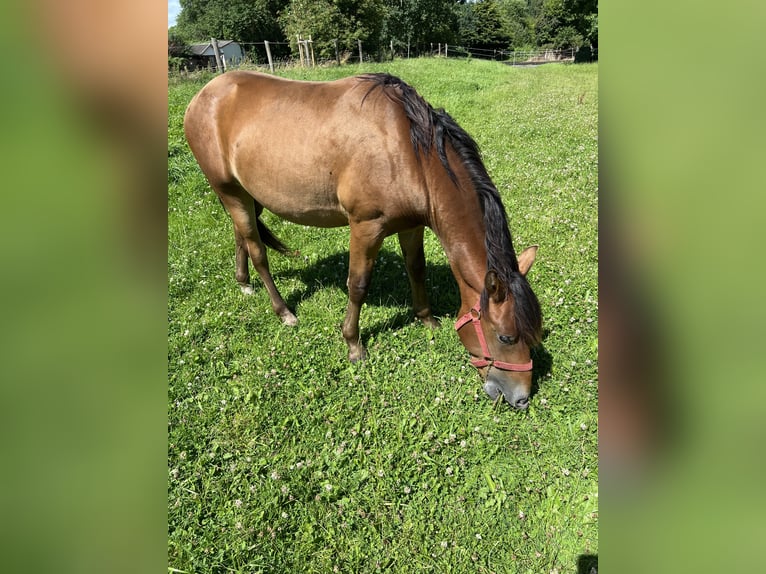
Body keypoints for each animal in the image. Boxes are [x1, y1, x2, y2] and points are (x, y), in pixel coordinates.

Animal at [184, 70, 544, 410]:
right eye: (506, 337)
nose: (522, 399)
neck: (408, 151)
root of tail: (203, 95)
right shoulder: (365, 227)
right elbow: (357, 284)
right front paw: (353, 345)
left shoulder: (411, 225)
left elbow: (416, 269)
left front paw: (426, 319)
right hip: (231, 192)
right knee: (257, 250)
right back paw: (283, 311)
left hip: (246, 195)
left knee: (241, 236)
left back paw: (243, 282)